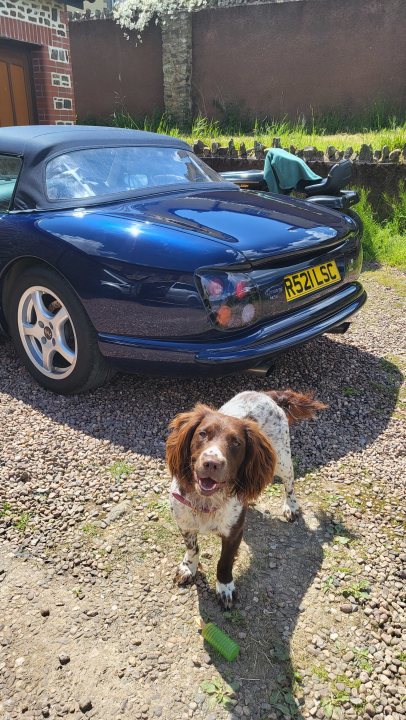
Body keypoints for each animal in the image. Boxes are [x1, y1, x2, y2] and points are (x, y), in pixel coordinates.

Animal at [167, 388, 326, 608]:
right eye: (202, 433)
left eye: (236, 443)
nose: (211, 463)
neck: (207, 502)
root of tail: (267, 394)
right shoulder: (185, 524)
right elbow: (193, 549)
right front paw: (188, 568)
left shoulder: (234, 533)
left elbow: (224, 563)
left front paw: (225, 588)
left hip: (281, 459)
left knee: (289, 484)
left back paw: (291, 506)